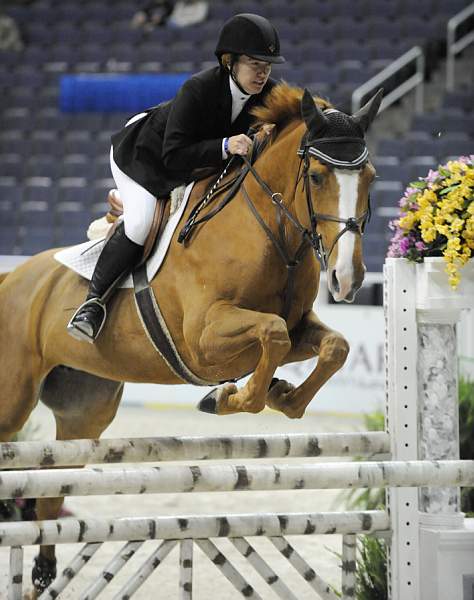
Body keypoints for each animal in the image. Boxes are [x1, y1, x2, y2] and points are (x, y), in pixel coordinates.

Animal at [0, 82, 382, 592]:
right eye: (318, 176)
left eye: (371, 178)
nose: (347, 279)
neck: (268, 233)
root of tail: (13, 278)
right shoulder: (204, 340)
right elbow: (273, 334)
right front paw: (228, 398)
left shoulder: (298, 326)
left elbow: (331, 347)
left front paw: (282, 395)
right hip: (13, 397)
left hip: (85, 412)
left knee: (50, 488)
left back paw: (42, 571)